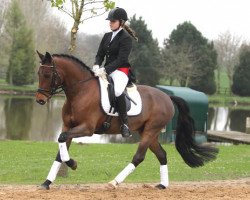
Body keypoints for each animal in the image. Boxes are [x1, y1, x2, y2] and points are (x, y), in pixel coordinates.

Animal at [35, 50, 219, 190]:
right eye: (38, 74)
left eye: (48, 74)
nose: (40, 100)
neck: (80, 91)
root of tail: (167, 97)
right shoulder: (68, 126)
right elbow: (60, 149)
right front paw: (47, 182)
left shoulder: (87, 128)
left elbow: (62, 140)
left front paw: (73, 164)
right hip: (149, 133)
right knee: (162, 154)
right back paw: (162, 185)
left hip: (151, 130)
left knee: (139, 157)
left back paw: (114, 182)